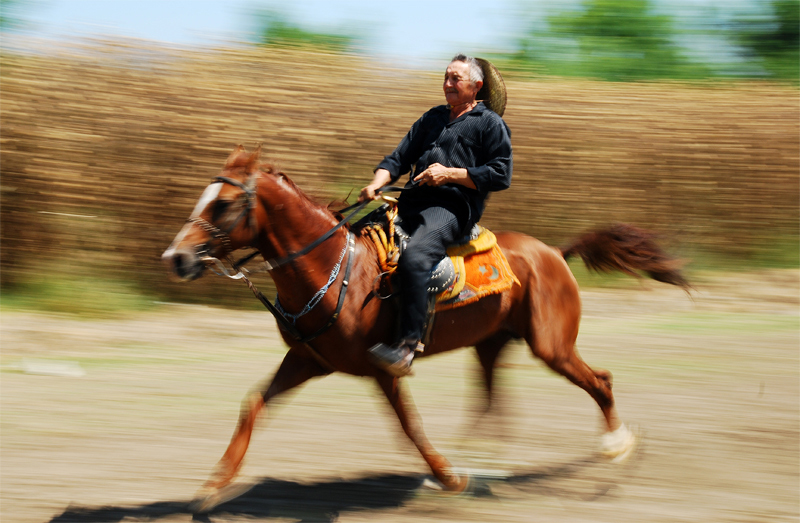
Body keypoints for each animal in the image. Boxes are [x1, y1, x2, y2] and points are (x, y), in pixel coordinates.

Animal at [161, 146, 688, 512]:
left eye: (224, 204)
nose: (177, 257)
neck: (337, 270)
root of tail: (554, 254)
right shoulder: (307, 360)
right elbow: (253, 407)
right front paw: (211, 487)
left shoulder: (383, 367)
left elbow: (410, 426)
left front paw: (448, 476)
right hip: (491, 344)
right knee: (493, 404)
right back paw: (481, 464)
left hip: (551, 345)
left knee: (600, 381)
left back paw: (616, 447)